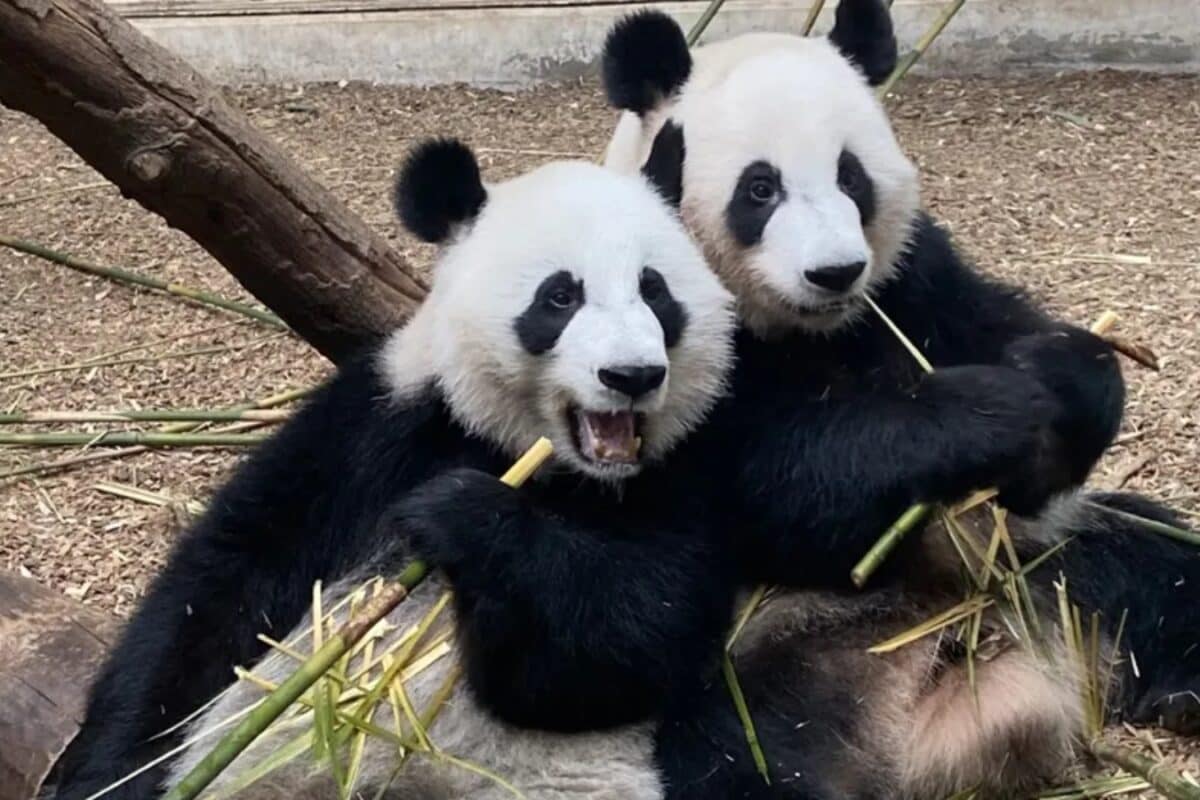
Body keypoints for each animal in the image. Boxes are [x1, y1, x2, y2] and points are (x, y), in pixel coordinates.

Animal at [54, 140, 740, 800]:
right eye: (561, 296)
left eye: (655, 290)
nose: (632, 376)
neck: (534, 457)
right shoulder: (371, 428)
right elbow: (221, 590)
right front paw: (109, 770)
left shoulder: (685, 471)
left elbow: (637, 630)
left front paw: (460, 515)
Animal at [600, 3, 1200, 797]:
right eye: (760, 189)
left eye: (851, 176)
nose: (834, 272)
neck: (806, 329)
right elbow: (777, 482)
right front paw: (987, 412)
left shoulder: (911, 276)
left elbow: (991, 325)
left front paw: (1060, 376)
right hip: (743, 655)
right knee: (728, 749)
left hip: (1051, 561)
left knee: (1159, 565)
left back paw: (1185, 692)